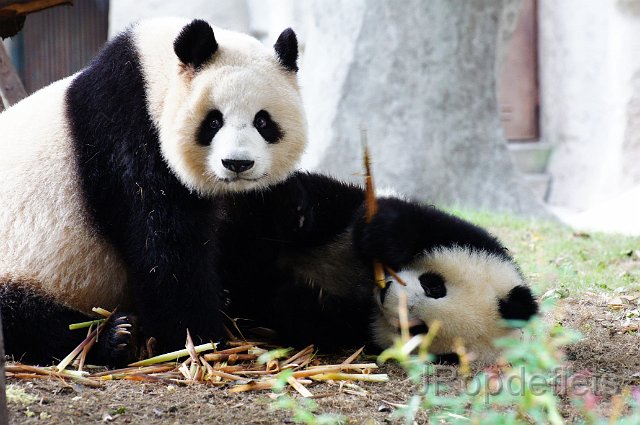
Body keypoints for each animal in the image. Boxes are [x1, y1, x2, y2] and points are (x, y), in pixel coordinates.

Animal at [0, 18, 306, 366]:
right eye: (214, 121)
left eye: (263, 121)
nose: (237, 163)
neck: (152, 77)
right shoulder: (125, 136)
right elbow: (163, 246)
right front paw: (201, 339)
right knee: (25, 318)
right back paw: (115, 337)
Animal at [216, 173, 538, 364]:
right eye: (435, 285)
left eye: (417, 330)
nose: (387, 293)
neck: (365, 286)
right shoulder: (453, 229)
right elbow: (394, 217)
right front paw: (383, 240)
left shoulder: (358, 330)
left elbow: (310, 322)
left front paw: (304, 296)